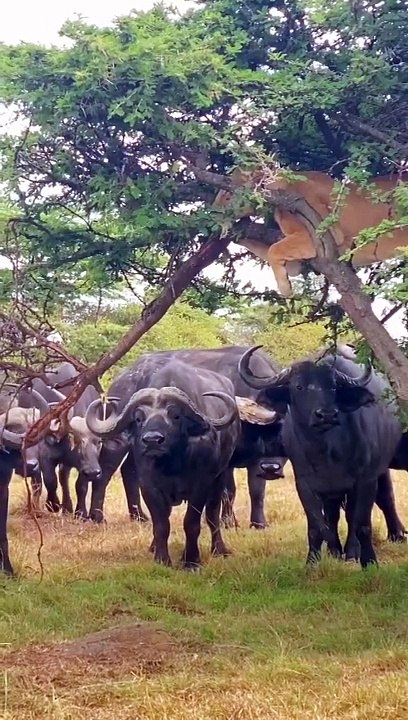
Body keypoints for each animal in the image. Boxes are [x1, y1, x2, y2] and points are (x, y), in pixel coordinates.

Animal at [213, 168, 408, 297]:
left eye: (227, 196)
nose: (213, 211)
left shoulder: (324, 236)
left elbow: (273, 249)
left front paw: (285, 289)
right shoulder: (297, 262)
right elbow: (270, 252)